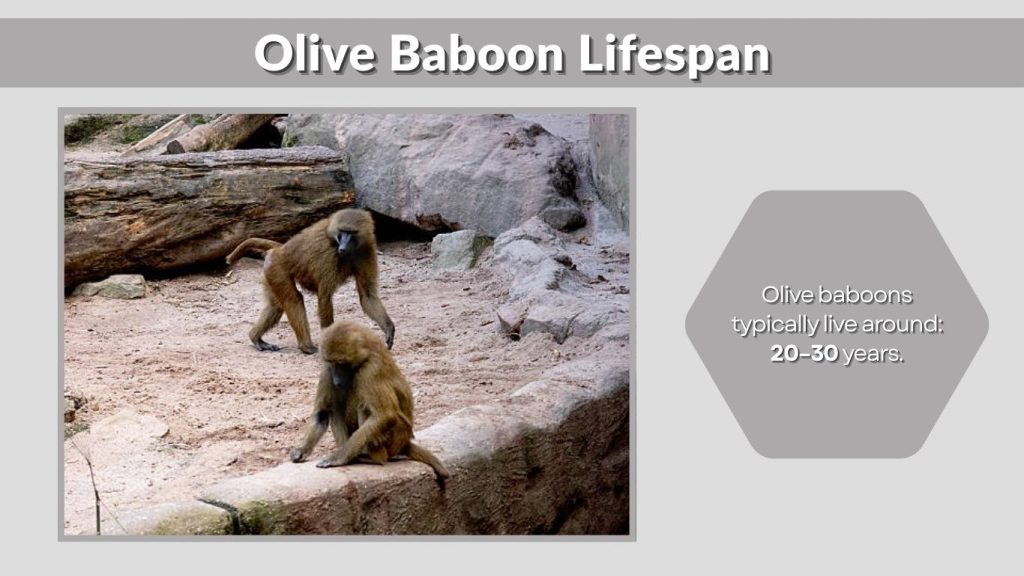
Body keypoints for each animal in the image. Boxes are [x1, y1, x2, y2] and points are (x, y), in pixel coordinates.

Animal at [226, 208, 395, 354]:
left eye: (351, 233)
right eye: (342, 232)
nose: (342, 248)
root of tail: (280, 249)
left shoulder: (368, 250)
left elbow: (367, 295)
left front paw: (389, 329)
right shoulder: (330, 255)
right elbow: (325, 297)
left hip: (270, 272)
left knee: (276, 306)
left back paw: (256, 338)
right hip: (276, 269)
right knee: (294, 300)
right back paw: (306, 347)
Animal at [289, 320, 450, 486]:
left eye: (342, 363)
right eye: (333, 363)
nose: (337, 381)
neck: (362, 358)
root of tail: (405, 441)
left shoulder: (370, 369)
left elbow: (385, 415)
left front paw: (337, 458)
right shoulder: (327, 370)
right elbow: (322, 413)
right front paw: (301, 451)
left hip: (396, 435)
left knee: (365, 409)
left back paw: (374, 459)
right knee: (336, 410)